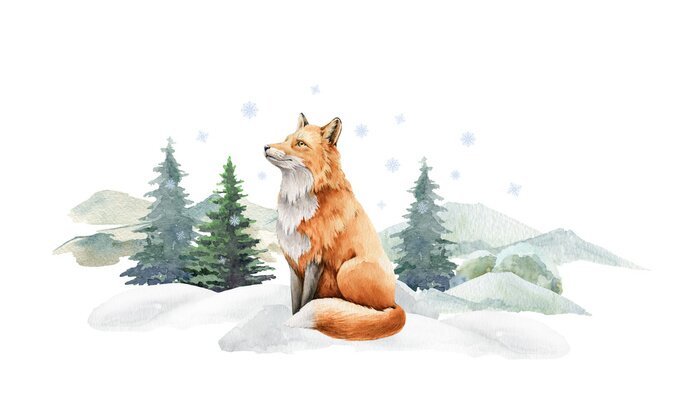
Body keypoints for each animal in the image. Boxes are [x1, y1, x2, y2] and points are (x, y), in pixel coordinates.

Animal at [264, 113, 405, 340]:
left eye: (300, 143)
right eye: (286, 139)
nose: (266, 147)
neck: (299, 202)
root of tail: (394, 302)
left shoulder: (315, 261)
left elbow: (304, 302)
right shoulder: (294, 262)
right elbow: (295, 303)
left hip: (347, 271)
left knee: (371, 311)